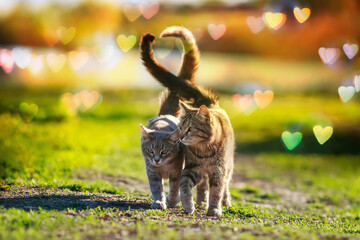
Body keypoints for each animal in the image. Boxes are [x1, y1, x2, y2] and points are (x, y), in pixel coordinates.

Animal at [139, 26, 200, 210]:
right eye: (151, 151)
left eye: (165, 151)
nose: (157, 159)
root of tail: (166, 115)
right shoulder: (152, 172)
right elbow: (157, 188)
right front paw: (159, 201)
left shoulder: (176, 173)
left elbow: (174, 188)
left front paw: (171, 201)